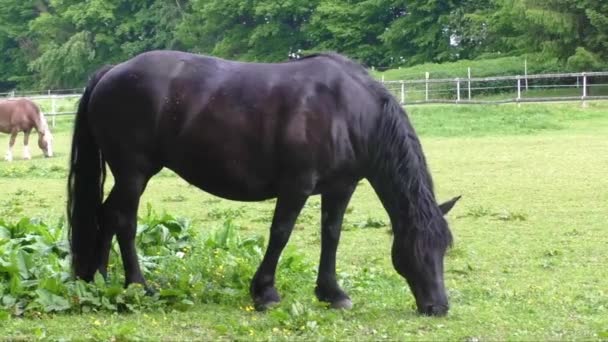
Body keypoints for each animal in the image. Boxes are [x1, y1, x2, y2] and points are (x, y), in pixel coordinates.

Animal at [66, 50, 458, 316]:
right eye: (417, 248)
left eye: (444, 248)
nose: (437, 307)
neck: (347, 110)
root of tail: (111, 72)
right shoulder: (297, 186)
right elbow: (280, 234)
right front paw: (265, 292)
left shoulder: (340, 187)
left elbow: (331, 236)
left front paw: (332, 293)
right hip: (134, 173)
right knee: (123, 221)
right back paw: (137, 285)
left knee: (106, 215)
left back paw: (99, 279)